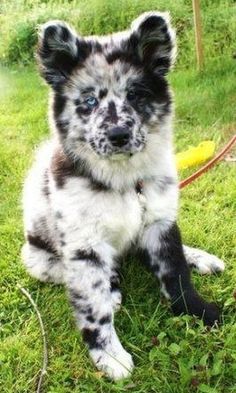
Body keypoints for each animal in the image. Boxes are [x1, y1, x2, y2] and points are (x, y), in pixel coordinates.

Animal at [22, 12, 225, 378]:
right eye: (89, 101)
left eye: (135, 95)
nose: (118, 135)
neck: (124, 179)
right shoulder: (84, 246)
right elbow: (94, 307)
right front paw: (109, 355)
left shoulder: (160, 221)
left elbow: (176, 272)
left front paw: (199, 311)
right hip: (39, 259)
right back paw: (113, 286)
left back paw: (202, 258)